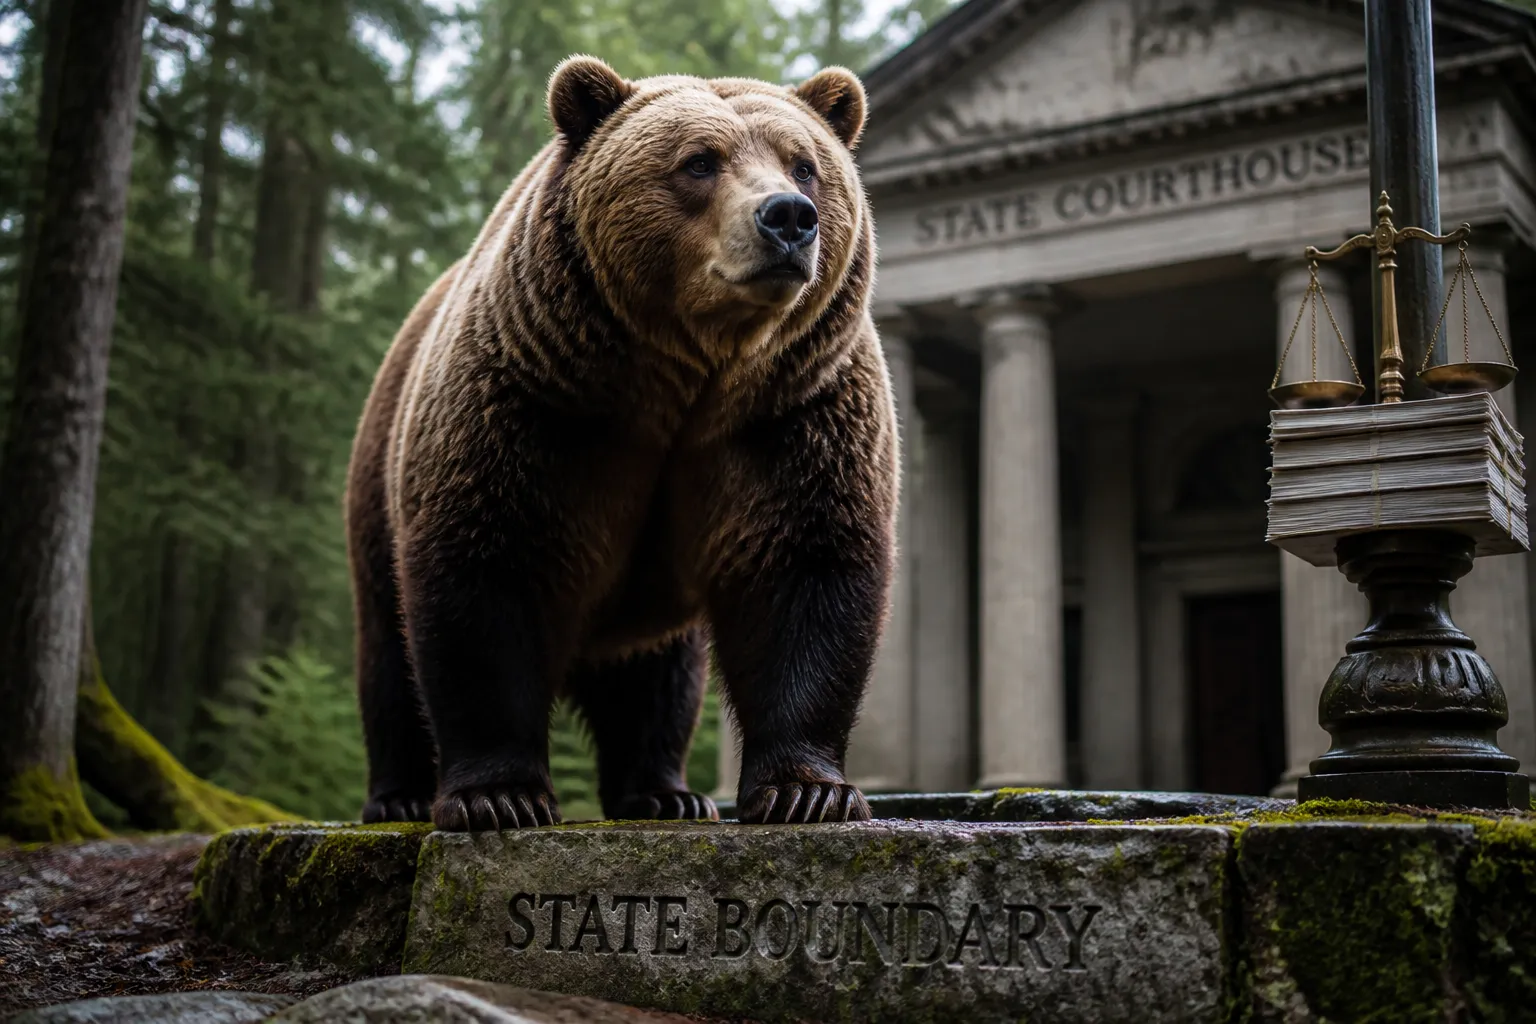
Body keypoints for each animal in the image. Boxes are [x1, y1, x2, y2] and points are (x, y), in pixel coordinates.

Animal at [344, 54, 896, 831]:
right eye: (700, 161)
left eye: (805, 164)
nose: (788, 217)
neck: (686, 385)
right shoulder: (536, 409)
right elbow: (485, 576)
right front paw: (499, 797)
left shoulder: (793, 418)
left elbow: (806, 571)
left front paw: (808, 790)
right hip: (377, 477)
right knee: (387, 650)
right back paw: (397, 794)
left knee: (658, 678)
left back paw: (668, 792)